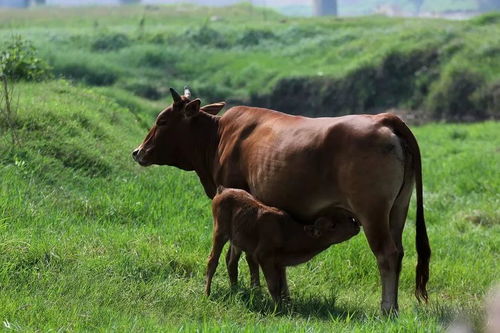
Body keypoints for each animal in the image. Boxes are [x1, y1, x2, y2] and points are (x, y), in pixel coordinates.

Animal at [204, 185, 360, 302]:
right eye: (332, 225)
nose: (355, 223)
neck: (287, 232)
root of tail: (223, 190)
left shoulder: (279, 263)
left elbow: (282, 286)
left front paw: (285, 304)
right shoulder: (264, 257)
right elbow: (273, 285)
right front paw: (277, 308)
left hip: (237, 241)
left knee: (231, 262)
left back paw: (235, 290)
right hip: (219, 233)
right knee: (212, 260)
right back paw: (207, 293)